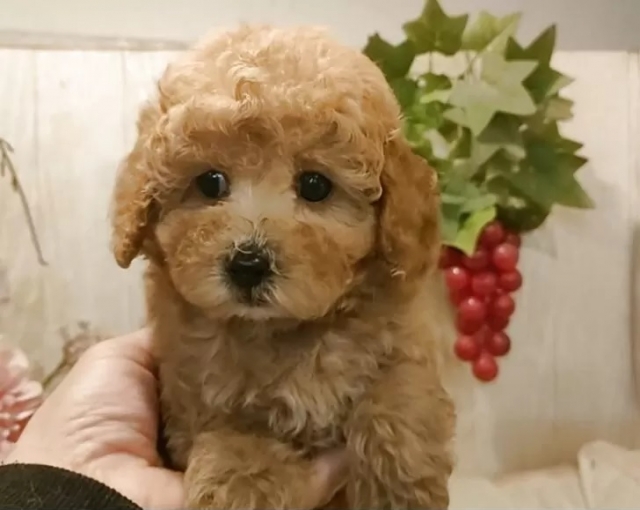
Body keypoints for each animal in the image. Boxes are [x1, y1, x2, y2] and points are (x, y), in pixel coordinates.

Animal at [110, 24, 455, 509]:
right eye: (210, 182)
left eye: (315, 185)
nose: (248, 265)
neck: (283, 330)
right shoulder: (191, 396)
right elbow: (238, 436)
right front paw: (242, 487)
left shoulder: (403, 336)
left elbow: (401, 388)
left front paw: (398, 487)